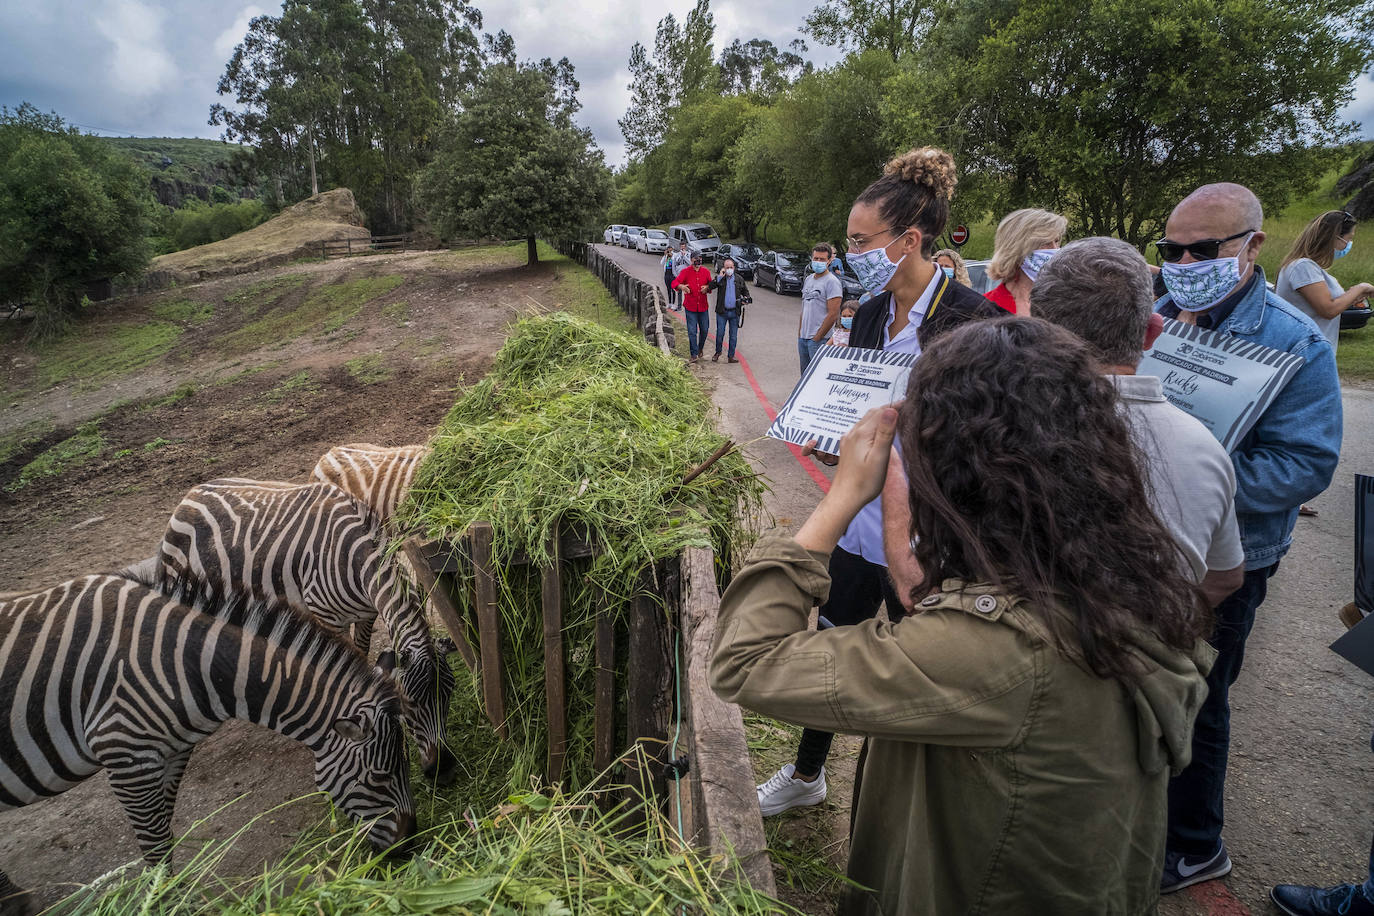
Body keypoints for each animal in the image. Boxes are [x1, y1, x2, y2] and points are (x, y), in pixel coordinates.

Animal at [0, 574, 414, 911]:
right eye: (378, 778)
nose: (410, 848)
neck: (190, 664)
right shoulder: (125, 756)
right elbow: (154, 841)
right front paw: (161, 902)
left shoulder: (173, 752)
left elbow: (164, 829)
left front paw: (170, 891)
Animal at [151, 477, 456, 785]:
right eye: (410, 704)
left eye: (450, 694)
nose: (442, 769)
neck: (353, 555)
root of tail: (189, 495)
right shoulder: (329, 618)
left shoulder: (367, 614)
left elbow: (362, 653)